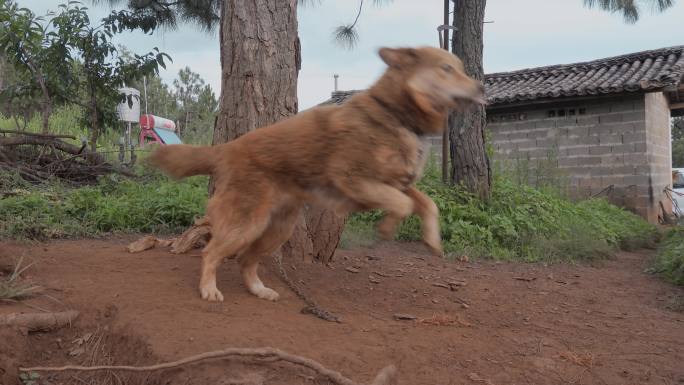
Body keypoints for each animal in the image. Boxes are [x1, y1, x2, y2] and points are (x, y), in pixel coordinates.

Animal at [152, 46, 484, 302]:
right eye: (446, 68)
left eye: (460, 68)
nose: (481, 87)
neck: (394, 113)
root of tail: (227, 148)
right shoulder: (352, 179)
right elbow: (403, 205)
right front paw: (388, 226)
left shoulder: (397, 182)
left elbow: (428, 203)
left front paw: (431, 240)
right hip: (247, 224)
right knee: (211, 252)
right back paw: (209, 289)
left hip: (277, 229)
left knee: (246, 260)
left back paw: (259, 290)